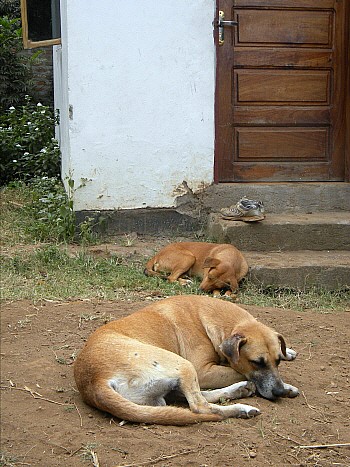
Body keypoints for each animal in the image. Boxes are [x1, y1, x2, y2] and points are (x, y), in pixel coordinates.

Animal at [74, 298, 298, 426]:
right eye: (256, 362)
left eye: (278, 361)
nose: (278, 391)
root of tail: (93, 381)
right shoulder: (203, 370)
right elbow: (238, 370)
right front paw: (286, 385)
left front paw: (288, 353)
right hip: (183, 365)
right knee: (200, 406)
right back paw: (242, 408)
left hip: (167, 386)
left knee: (200, 398)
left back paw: (241, 390)